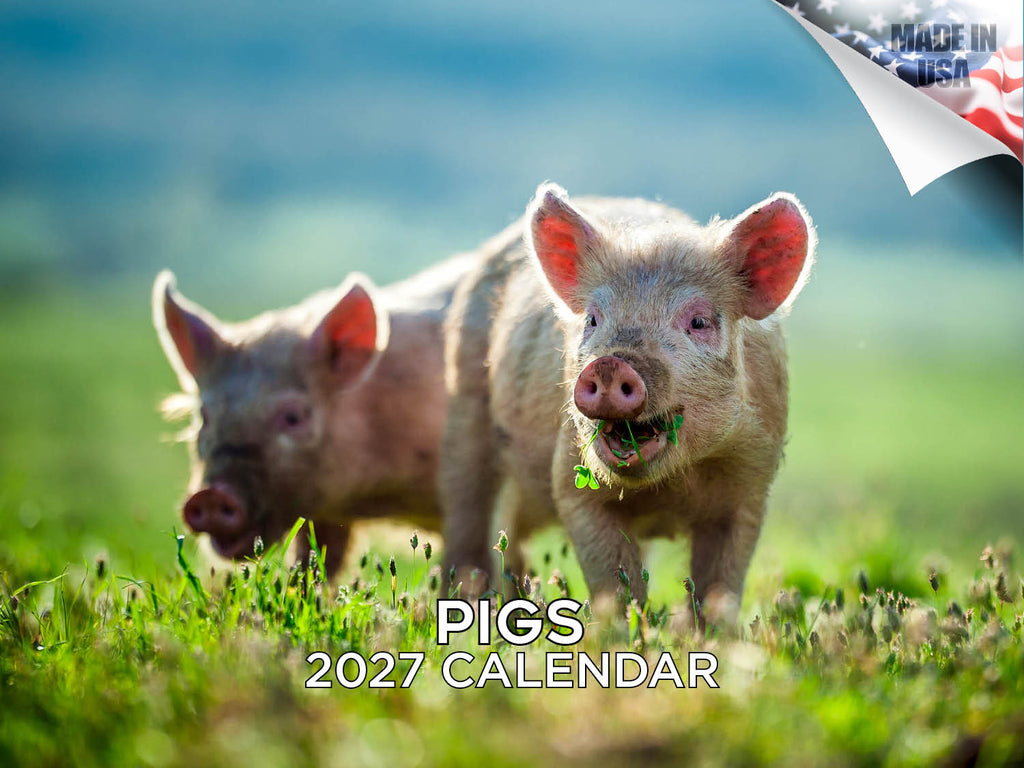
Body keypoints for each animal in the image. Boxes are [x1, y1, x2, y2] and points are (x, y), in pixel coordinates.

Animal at [441, 183, 815, 620]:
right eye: (593, 319)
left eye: (699, 322)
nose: (610, 363)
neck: (669, 488)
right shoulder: (573, 482)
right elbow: (616, 584)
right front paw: (624, 628)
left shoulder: (750, 484)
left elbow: (718, 588)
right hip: (464, 402)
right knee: (470, 512)